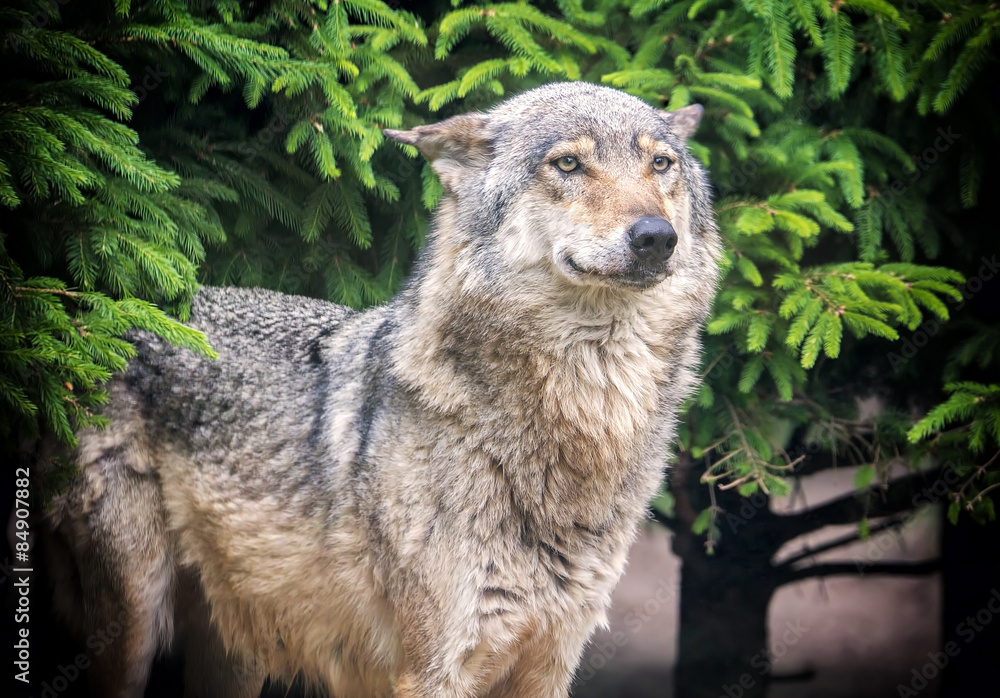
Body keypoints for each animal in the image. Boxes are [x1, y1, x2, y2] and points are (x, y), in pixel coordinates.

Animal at [42, 81, 721, 697]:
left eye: (661, 164)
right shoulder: (432, 670)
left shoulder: (551, 663)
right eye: (568, 164)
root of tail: (93, 323)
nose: (656, 237)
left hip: (236, 655)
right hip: (132, 631)